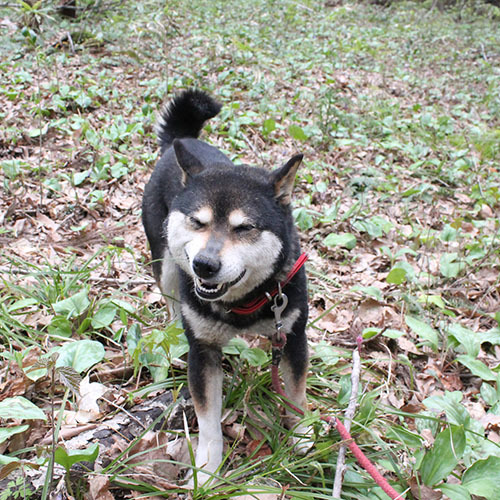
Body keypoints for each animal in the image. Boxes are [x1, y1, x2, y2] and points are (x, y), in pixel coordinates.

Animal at [141, 90, 308, 484]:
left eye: (244, 228)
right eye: (197, 221)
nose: (204, 265)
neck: (243, 304)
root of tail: (179, 144)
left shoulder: (293, 336)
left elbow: (295, 395)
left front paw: (303, 439)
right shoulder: (203, 352)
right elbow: (209, 423)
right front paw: (207, 469)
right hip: (165, 265)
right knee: (170, 299)